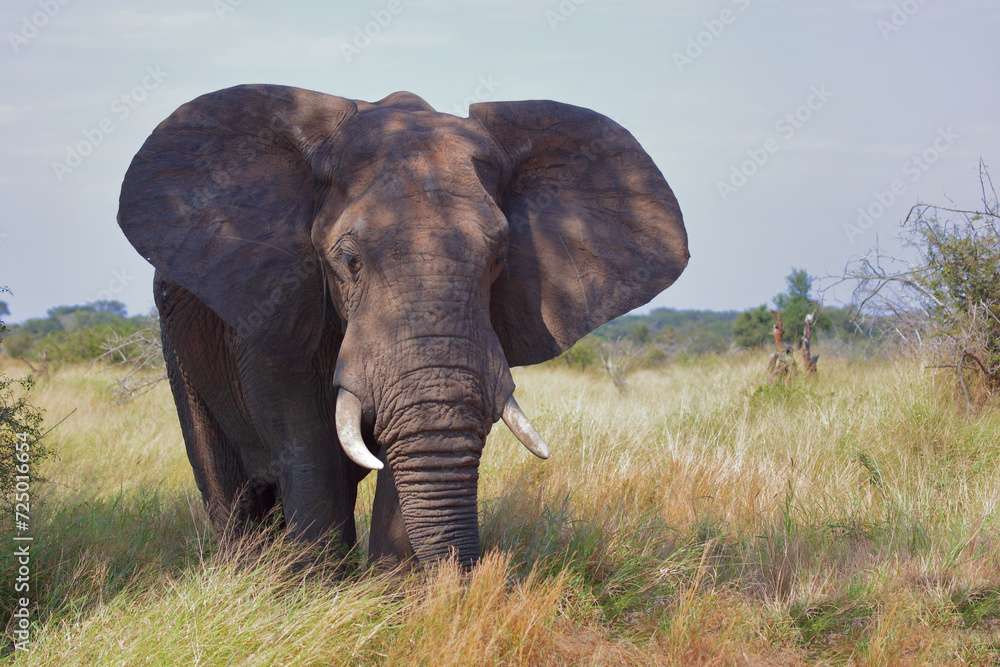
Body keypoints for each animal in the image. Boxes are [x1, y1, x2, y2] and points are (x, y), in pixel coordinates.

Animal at [117, 84, 688, 567]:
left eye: (500, 259)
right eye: (348, 261)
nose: (473, 583)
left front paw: (394, 596)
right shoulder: (273, 302)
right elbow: (310, 450)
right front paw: (316, 595)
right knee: (229, 485)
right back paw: (248, 573)